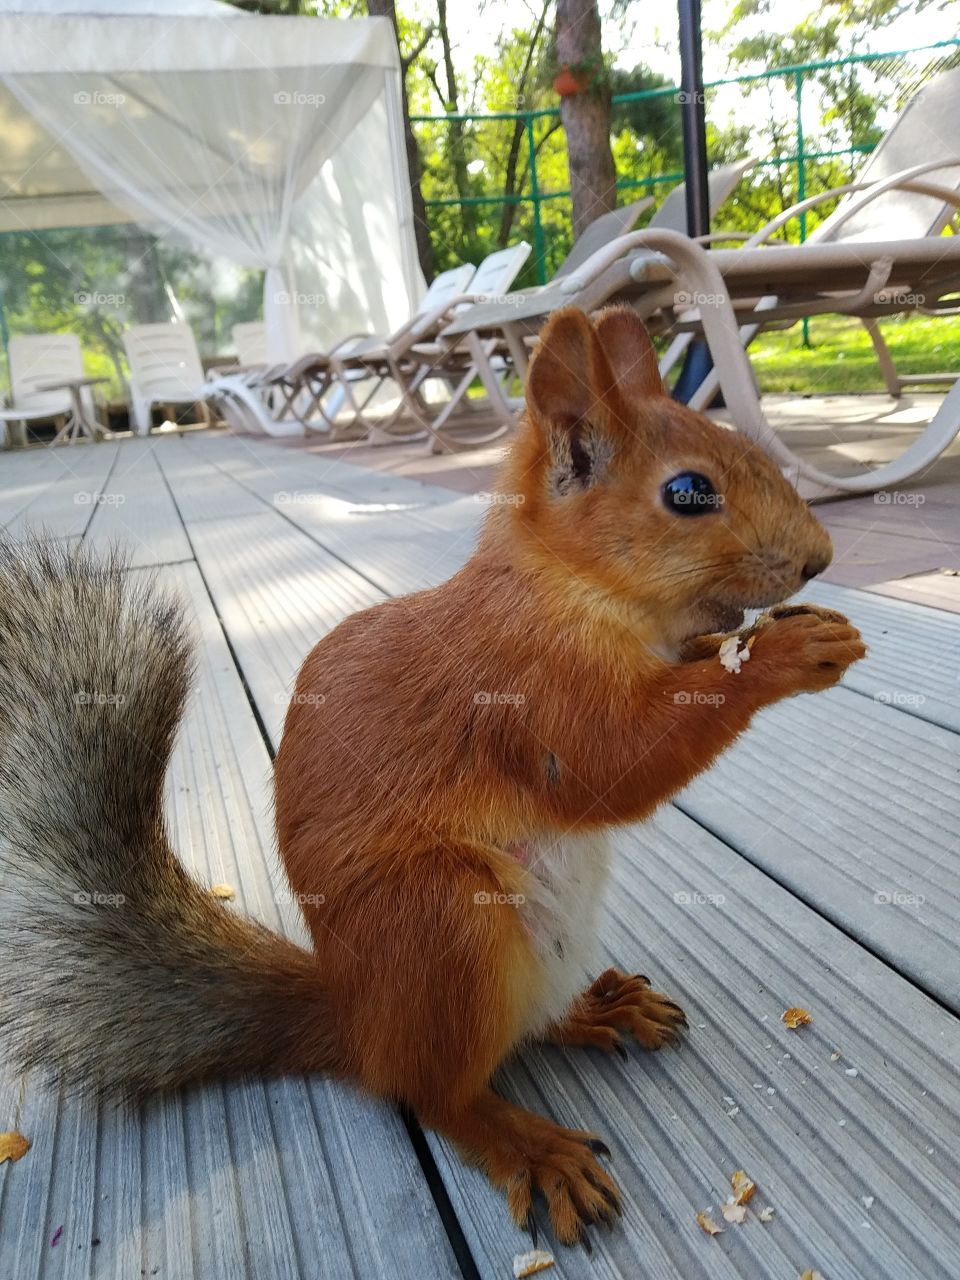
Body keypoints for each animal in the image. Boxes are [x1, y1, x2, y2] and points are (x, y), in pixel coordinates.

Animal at [0, 305, 865, 1250]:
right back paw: (527, 1146)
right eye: (688, 493)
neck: (570, 590)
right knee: (434, 1093)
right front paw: (786, 653)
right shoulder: (525, 693)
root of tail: (357, 1023)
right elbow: (612, 764)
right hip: (439, 918)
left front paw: (764, 635)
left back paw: (595, 1010)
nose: (821, 558)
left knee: (522, 1030)